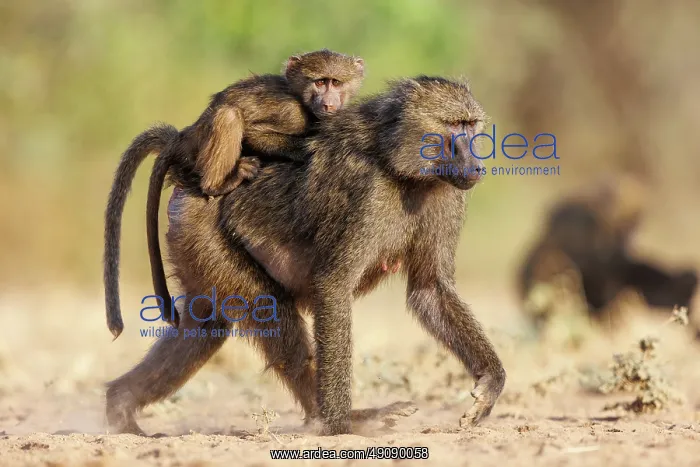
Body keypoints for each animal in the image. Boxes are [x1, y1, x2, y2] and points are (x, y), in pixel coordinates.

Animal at [104, 49, 365, 339]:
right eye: (320, 82)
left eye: (336, 83)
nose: (329, 105)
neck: (302, 100)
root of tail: (184, 137)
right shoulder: (291, 113)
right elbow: (254, 131)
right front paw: (306, 147)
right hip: (201, 150)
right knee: (228, 116)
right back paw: (217, 184)